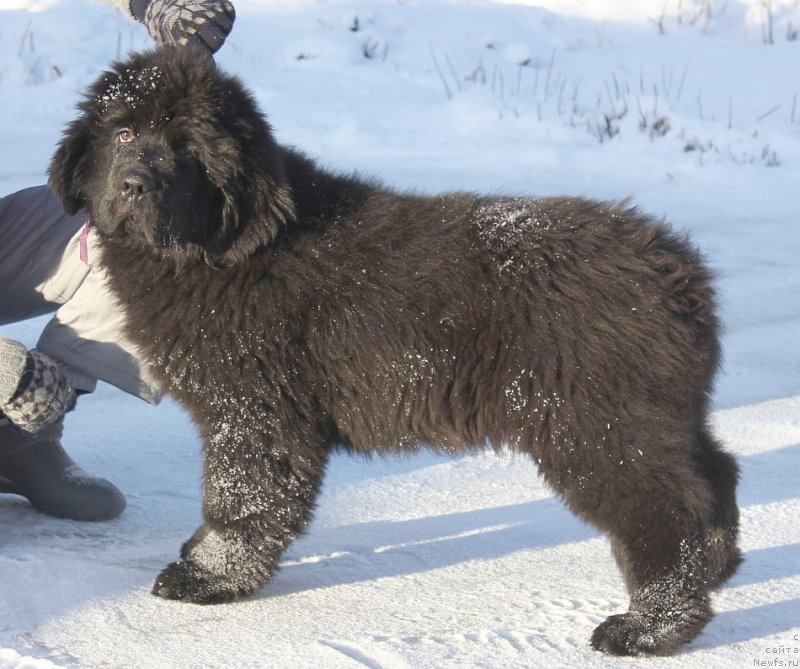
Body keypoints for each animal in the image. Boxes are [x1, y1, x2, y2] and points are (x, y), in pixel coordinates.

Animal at [48, 48, 736, 656]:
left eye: (188, 148)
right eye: (124, 131)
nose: (135, 184)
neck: (223, 248)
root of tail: (678, 273)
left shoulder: (255, 408)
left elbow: (243, 497)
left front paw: (210, 576)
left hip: (595, 425)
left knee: (664, 512)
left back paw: (651, 628)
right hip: (659, 414)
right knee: (714, 472)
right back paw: (719, 566)